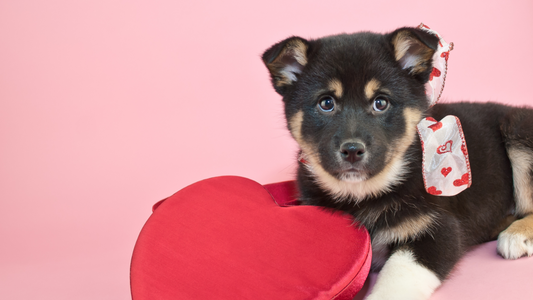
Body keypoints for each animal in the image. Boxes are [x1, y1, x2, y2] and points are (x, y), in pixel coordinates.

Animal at [260, 27, 532, 298]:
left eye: (381, 103)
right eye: (326, 103)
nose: (352, 150)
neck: (363, 194)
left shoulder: (437, 230)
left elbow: (398, 276)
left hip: (518, 127)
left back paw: (516, 235)